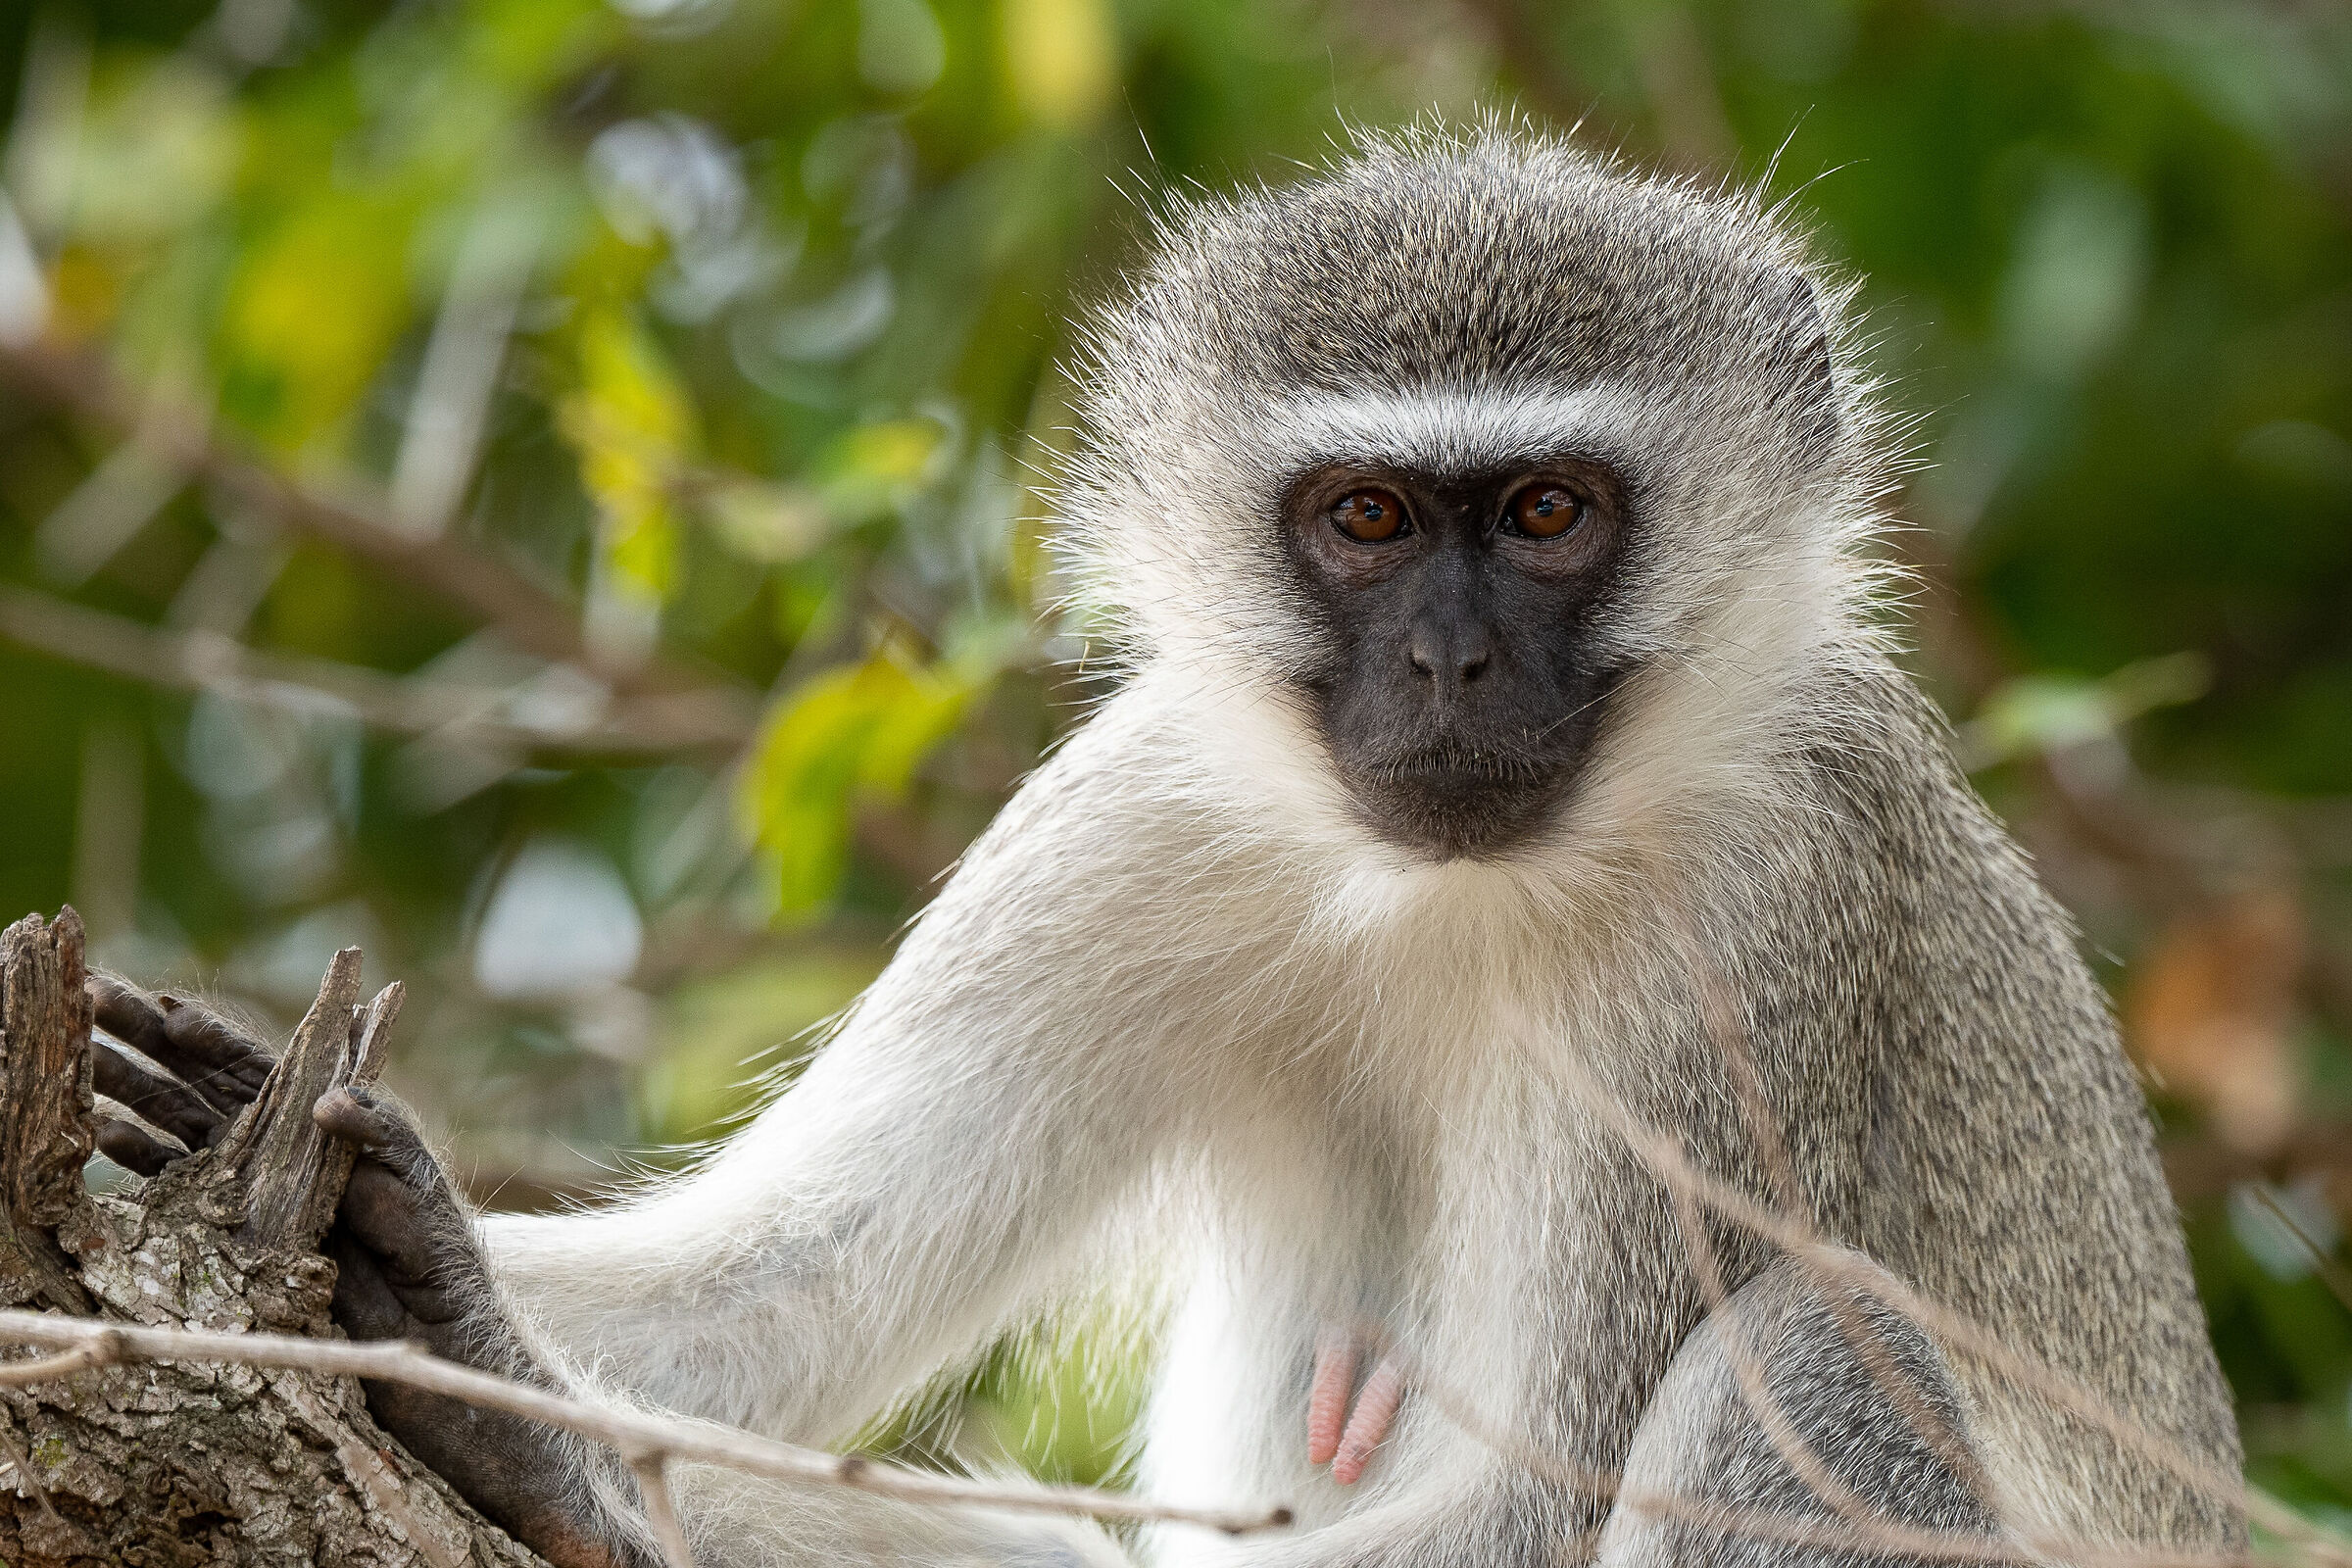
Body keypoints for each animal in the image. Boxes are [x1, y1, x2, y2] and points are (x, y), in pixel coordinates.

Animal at [87, 123, 2246, 1568]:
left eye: (1548, 512)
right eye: (1367, 520)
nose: (1452, 663)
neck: (1448, 895)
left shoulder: (1762, 919)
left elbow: (1524, 1501)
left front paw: (587, 1466)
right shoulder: (1129, 821)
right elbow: (781, 1295)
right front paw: (417, 1272)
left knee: (1806, 1347)